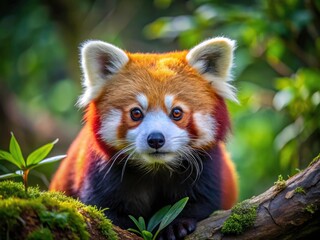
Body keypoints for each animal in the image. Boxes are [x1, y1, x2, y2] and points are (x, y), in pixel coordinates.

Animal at [50, 36, 238, 239]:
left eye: (177, 112)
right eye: (136, 113)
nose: (155, 139)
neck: (156, 169)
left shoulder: (207, 168)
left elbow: (202, 203)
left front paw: (176, 225)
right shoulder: (101, 173)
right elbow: (105, 211)